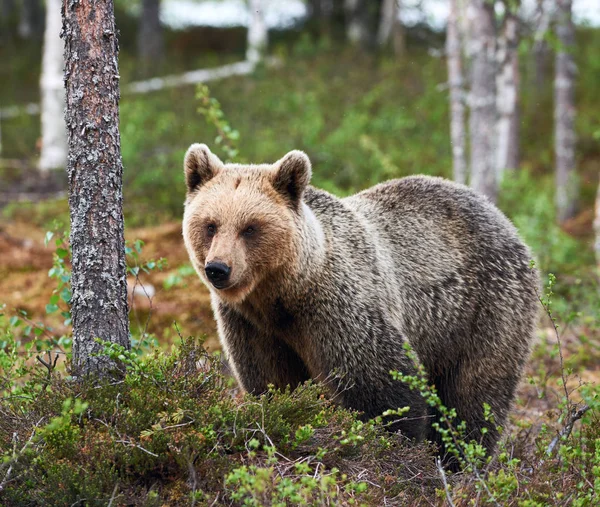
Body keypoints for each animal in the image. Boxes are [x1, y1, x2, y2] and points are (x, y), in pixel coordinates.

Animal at [182, 144, 540, 464]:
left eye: (250, 227)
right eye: (210, 224)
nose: (218, 268)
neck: (282, 294)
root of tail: (502, 217)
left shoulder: (337, 306)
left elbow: (381, 384)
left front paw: (394, 448)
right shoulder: (251, 325)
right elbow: (272, 381)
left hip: (485, 309)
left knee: (473, 393)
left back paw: (461, 459)